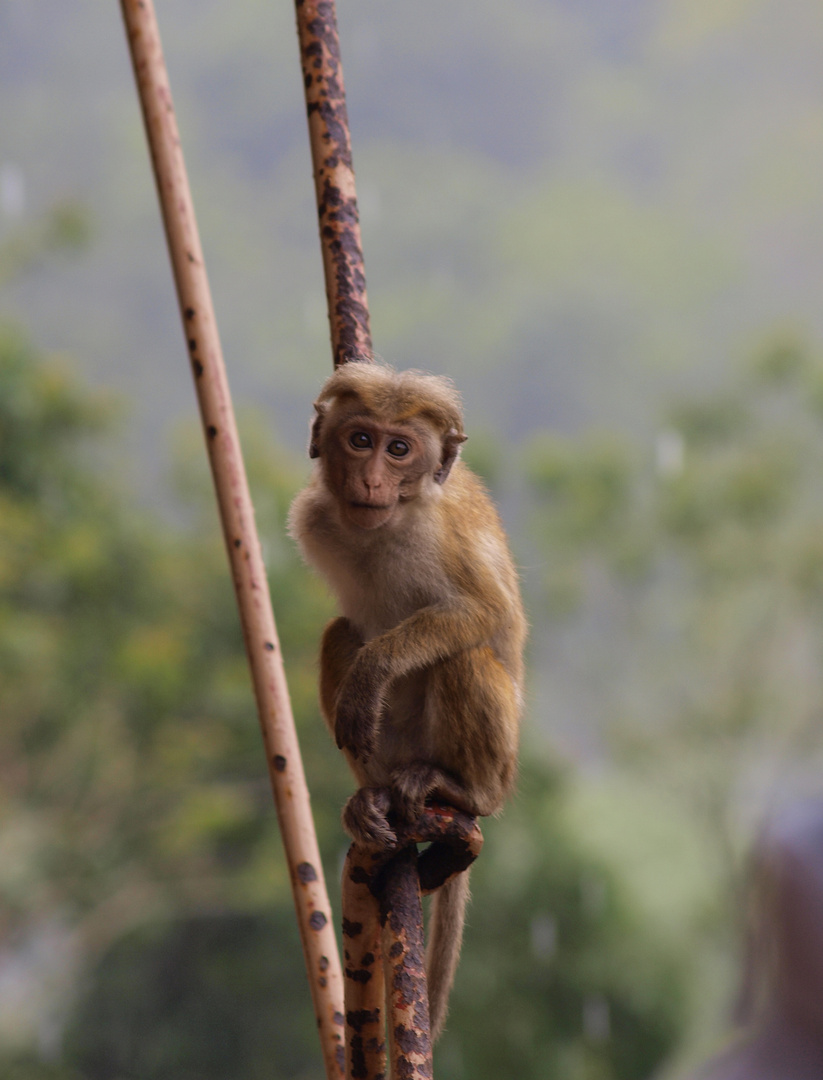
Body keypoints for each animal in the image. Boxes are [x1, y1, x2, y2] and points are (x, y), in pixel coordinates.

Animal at [285, 360, 522, 1036]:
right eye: (360, 440)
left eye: (399, 450)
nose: (371, 479)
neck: (390, 525)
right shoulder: (314, 516)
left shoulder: (440, 535)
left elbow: (483, 614)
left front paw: (375, 670)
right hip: (394, 746)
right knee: (340, 632)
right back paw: (372, 797)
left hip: (483, 757)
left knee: (464, 654)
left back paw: (464, 792)